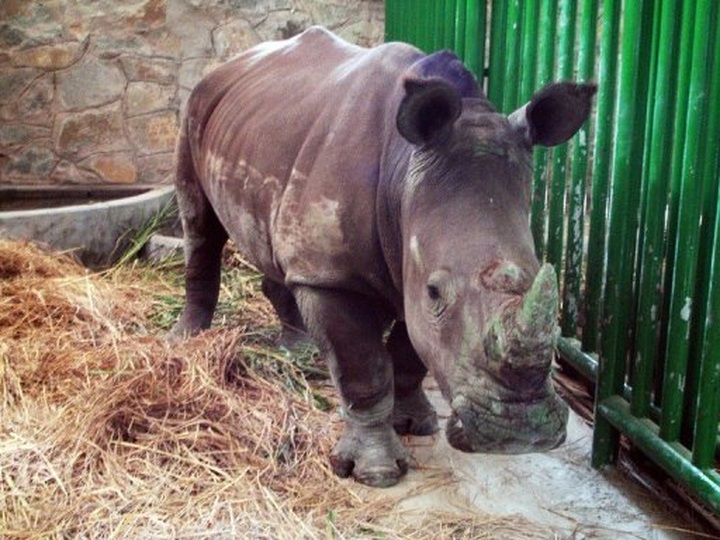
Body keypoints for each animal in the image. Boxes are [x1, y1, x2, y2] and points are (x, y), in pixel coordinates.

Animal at [172, 27, 596, 487]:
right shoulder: (335, 277)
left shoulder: (407, 267)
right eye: (435, 291)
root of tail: (232, 63)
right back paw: (186, 338)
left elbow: (410, 356)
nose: (519, 432)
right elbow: (364, 370)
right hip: (195, 107)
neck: (405, 172)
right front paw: (375, 471)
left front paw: (414, 423)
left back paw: (298, 350)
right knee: (199, 225)